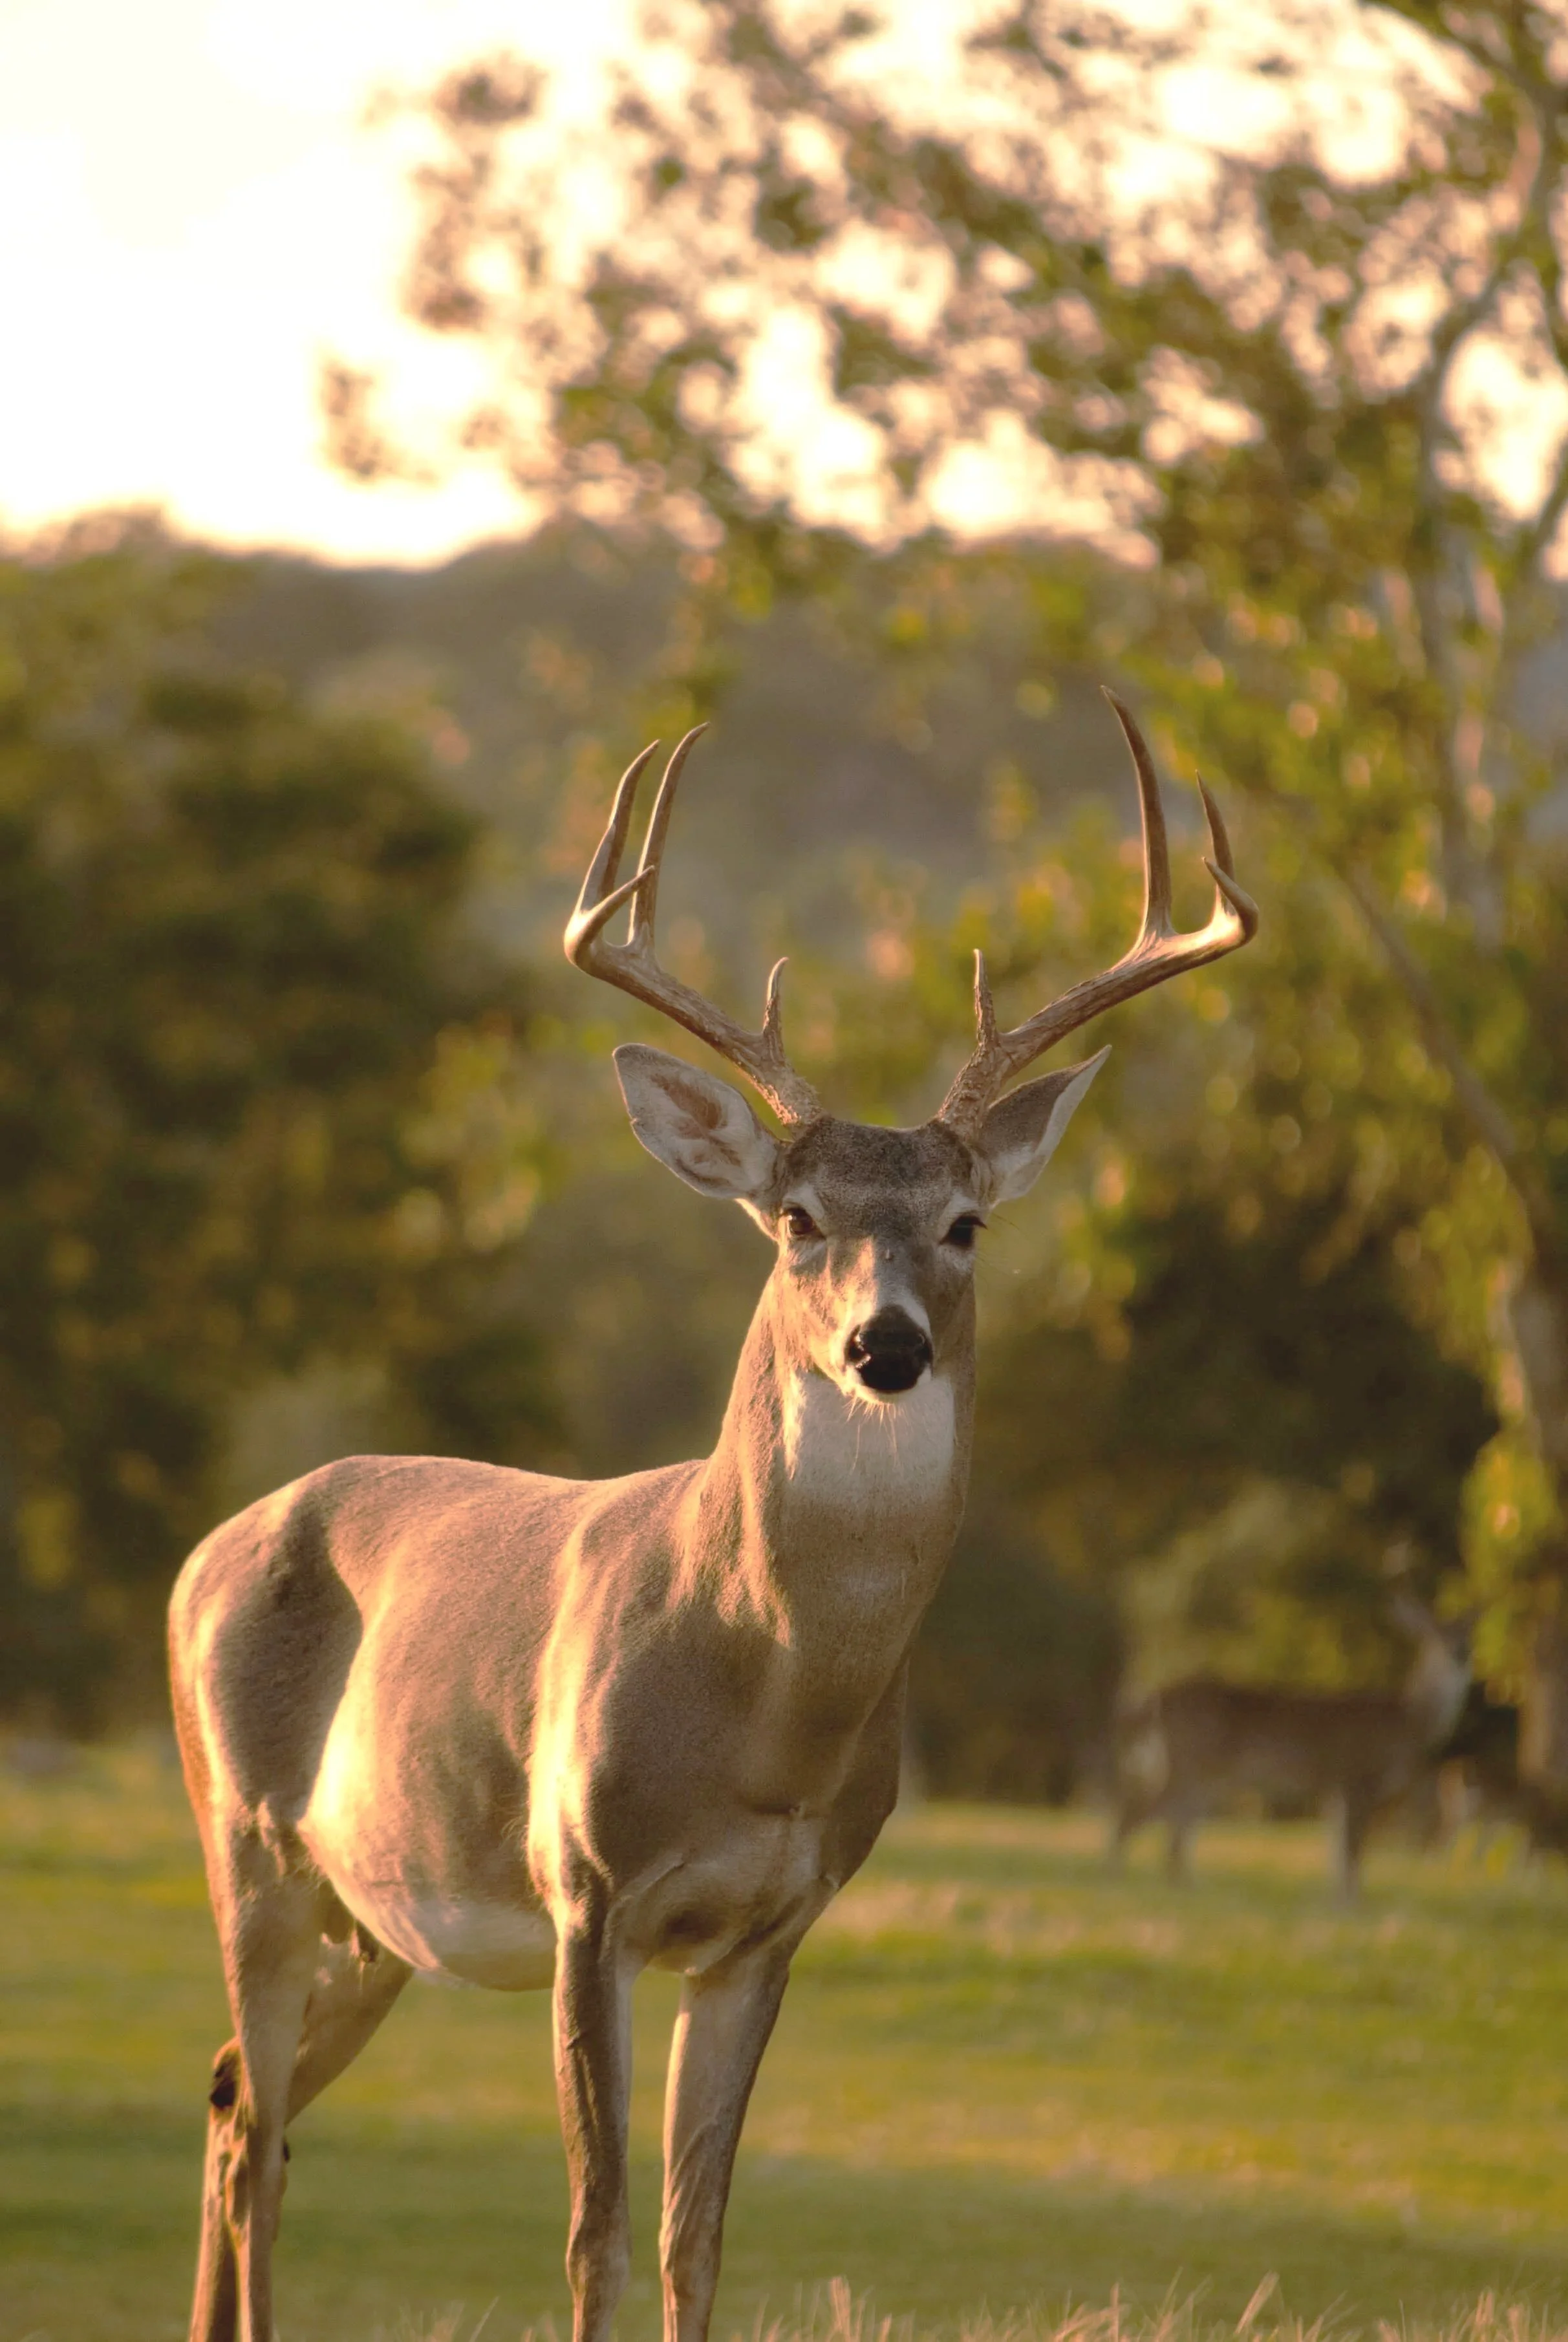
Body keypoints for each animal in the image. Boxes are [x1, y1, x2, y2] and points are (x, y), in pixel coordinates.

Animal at [167, 693, 1255, 2342]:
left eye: (964, 1223)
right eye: (797, 1217)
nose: (886, 1343)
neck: (762, 1702)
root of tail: (205, 1552)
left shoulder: (767, 1929)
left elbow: (697, 2236)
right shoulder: (585, 1891)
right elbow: (596, 2230)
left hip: (371, 1914)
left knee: (241, 2104)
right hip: (247, 1841)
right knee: (256, 2121)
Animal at [1108, 1595, 1470, 1898]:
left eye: (1467, 1633)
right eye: (1435, 1636)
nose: (1460, 1654)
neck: (1408, 1720)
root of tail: (1154, 1699)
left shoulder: (1335, 1788)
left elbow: (1338, 1848)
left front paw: (1337, 1901)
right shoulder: (1355, 1775)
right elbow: (1352, 1848)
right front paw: (1352, 1903)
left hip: (1201, 1774)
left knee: (1174, 1829)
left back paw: (1185, 1887)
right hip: (1191, 1762)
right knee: (1137, 1814)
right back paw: (1118, 1880)